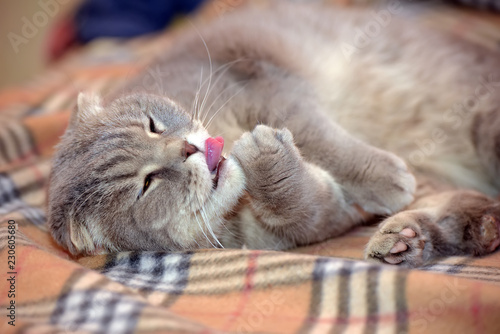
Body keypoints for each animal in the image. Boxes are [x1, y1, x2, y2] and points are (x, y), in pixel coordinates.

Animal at [47, 1, 500, 268]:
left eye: (152, 124)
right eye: (147, 184)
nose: (189, 147)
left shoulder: (265, 85)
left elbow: (316, 134)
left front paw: (381, 175)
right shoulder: (319, 220)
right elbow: (302, 204)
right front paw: (270, 164)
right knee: (474, 209)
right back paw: (409, 240)